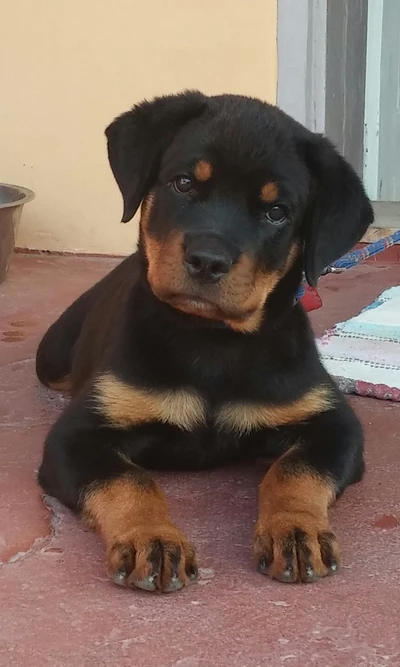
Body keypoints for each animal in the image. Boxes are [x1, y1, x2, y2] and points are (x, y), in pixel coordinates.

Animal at [36, 90, 374, 596]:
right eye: (182, 184)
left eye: (277, 212)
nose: (207, 260)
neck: (211, 340)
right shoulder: (75, 436)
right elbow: (128, 480)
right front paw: (151, 539)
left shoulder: (335, 423)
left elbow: (295, 470)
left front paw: (295, 530)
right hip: (51, 355)